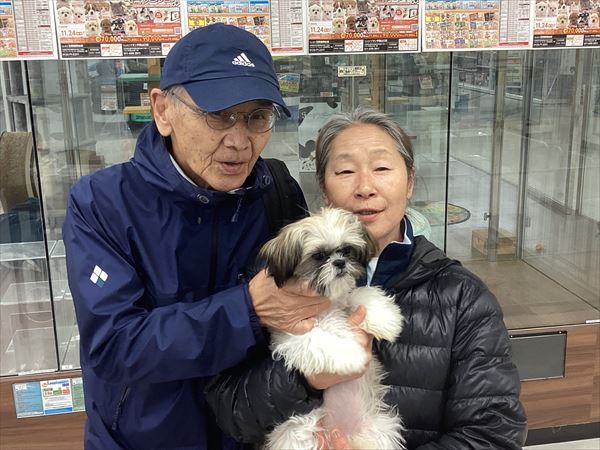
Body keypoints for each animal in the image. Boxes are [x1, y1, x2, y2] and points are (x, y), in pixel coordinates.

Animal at [260, 208, 405, 450]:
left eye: (346, 250)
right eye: (319, 256)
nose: (339, 263)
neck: (325, 305)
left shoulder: (344, 302)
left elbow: (360, 294)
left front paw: (386, 318)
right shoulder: (293, 335)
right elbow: (320, 340)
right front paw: (354, 356)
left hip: (379, 430)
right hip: (296, 434)